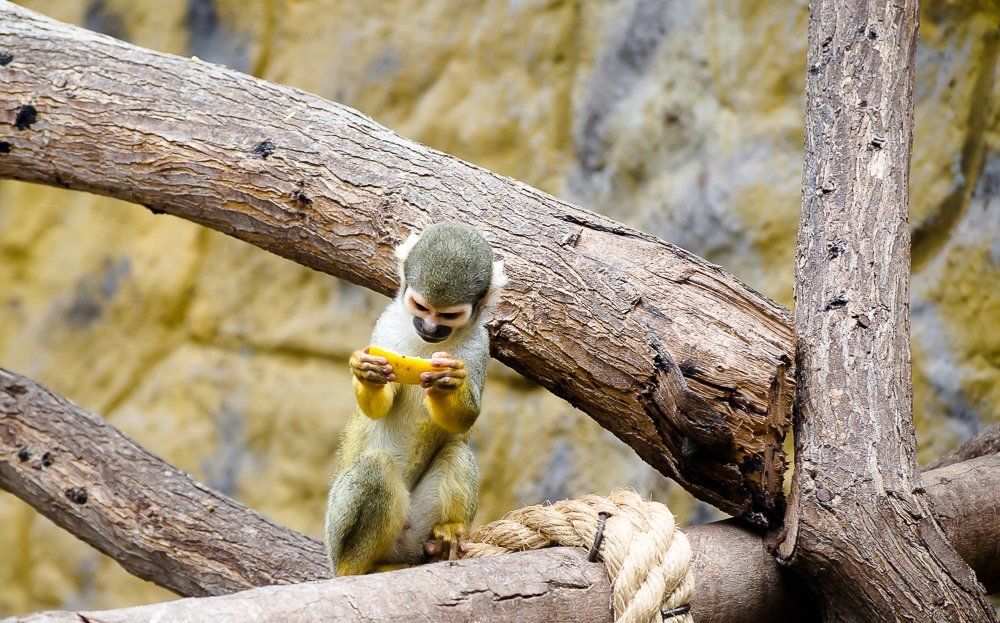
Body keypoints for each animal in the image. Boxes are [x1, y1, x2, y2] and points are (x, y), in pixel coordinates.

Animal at [324, 221, 507, 575]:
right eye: (421, 308)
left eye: (448, 316)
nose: (431, 329)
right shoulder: (385, 325)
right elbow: (377, 408)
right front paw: (368, 374)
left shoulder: (480, 345)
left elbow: (464, 418)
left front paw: (448, 384)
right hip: (334, 529)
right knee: (376, 469)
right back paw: (354, 570)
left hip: (415, 534)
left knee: (456, 451)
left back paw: (447, 533)